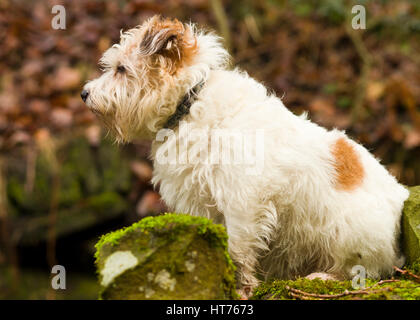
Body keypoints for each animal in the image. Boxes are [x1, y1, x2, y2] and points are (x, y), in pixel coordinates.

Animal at [80, 14, 408, 296]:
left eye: (121, 69)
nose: (84, 94)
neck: (189, 103)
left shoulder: (242, 201)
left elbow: (238, 251)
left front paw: (241, 288)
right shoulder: (201, 204)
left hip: (347, 237)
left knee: (361, 272)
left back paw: (323, 276)